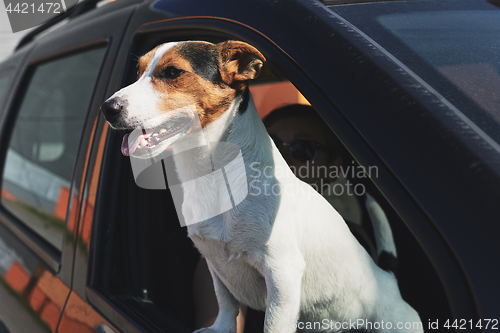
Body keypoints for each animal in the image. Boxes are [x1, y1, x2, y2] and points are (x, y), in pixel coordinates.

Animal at [100, 40, 422, 330]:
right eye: (138, 71)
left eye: (172, 72)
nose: (107, 108)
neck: (214, 175)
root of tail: (388, 279)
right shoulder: (214, 263)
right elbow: (226, 304)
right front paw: (220, 329)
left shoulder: (282, 273)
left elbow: (273, 324)